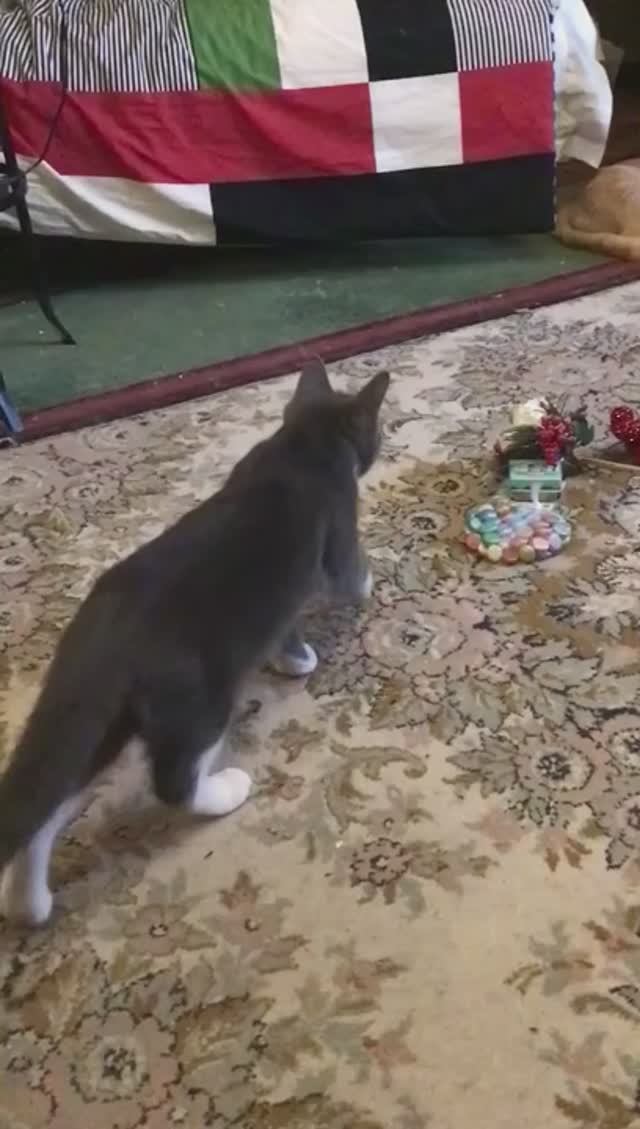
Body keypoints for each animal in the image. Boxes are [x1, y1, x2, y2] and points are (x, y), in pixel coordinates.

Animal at [0, 360, 389, 927]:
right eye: (376, 429)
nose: (382, 441)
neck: (301, 443)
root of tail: (101, 641)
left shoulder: (280, 593)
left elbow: (282, 626)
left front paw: (291, 659)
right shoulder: (336, 533)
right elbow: (346, 578)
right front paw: (330, 630)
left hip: (100, 722)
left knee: (50, 804)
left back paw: (29, 903)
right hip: (196, 700)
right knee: (173, 781)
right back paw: (225, 790)